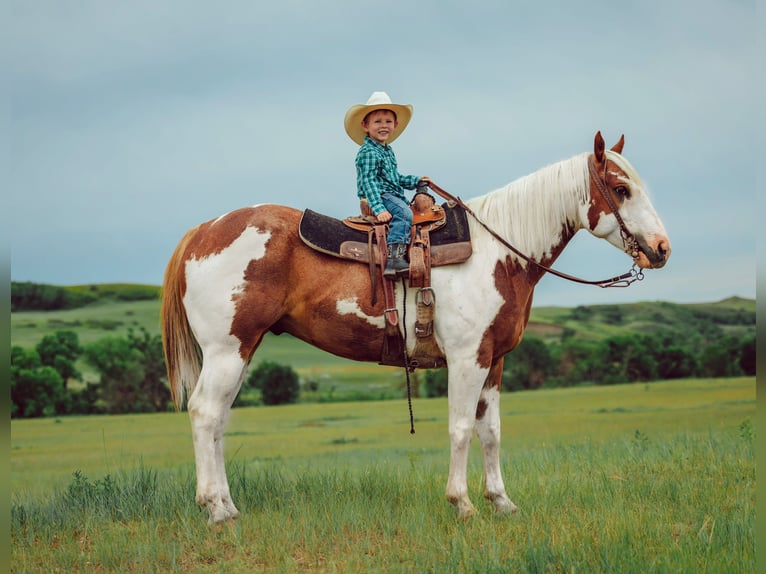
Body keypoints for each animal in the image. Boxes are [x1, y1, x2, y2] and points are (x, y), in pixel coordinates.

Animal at [161, 131, 670, 524]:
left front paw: (502, 502)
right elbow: (461, 427)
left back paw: (228, 505)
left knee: (219, 420)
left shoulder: (495, 362)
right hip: (227, 349)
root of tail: (203, 230)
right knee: (205, 413)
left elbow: (491, 431)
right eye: (621, 189)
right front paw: (462, 504)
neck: (497, 253)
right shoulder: (467, 359)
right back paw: (216, 509)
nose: (662, 249)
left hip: (239, 352)